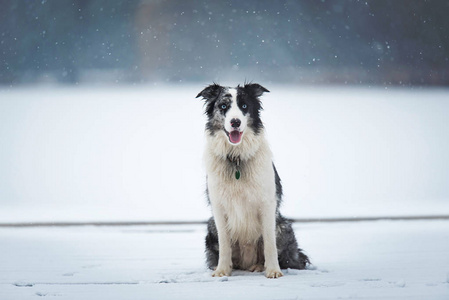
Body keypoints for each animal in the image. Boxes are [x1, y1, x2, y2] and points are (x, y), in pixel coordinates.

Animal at [196, 82, 308, 278]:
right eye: (223, 106)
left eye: (244, 106)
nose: (235, 122)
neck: (236, 158)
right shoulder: (218, 207)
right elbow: (224, 244)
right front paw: (222, 270)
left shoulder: (267, 204)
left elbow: (269, 244)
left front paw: (273, 270)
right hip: (210, 226)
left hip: (283, 225)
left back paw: (259, 266)